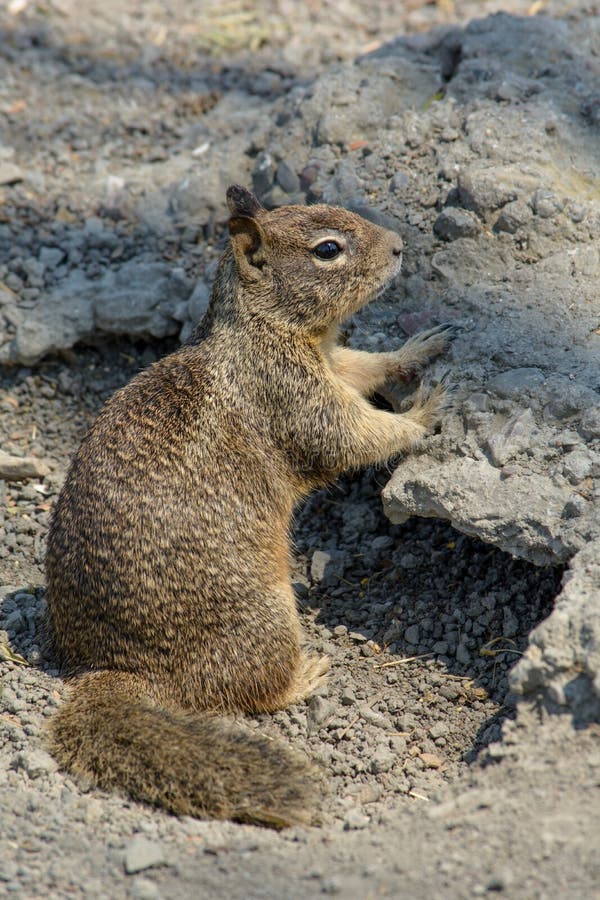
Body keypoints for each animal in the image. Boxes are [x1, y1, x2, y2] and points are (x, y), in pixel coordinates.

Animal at [45, 185, 456, 828]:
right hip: (268, 619)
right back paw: (306, 676)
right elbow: (354, 436)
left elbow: (367, 366)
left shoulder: (334, 365)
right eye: (328, 249)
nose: (399, 246)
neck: (264, 328)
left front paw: (421, 346)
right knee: (250, 691)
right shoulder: (295, 394)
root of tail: (116, 669)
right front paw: (423, 415)